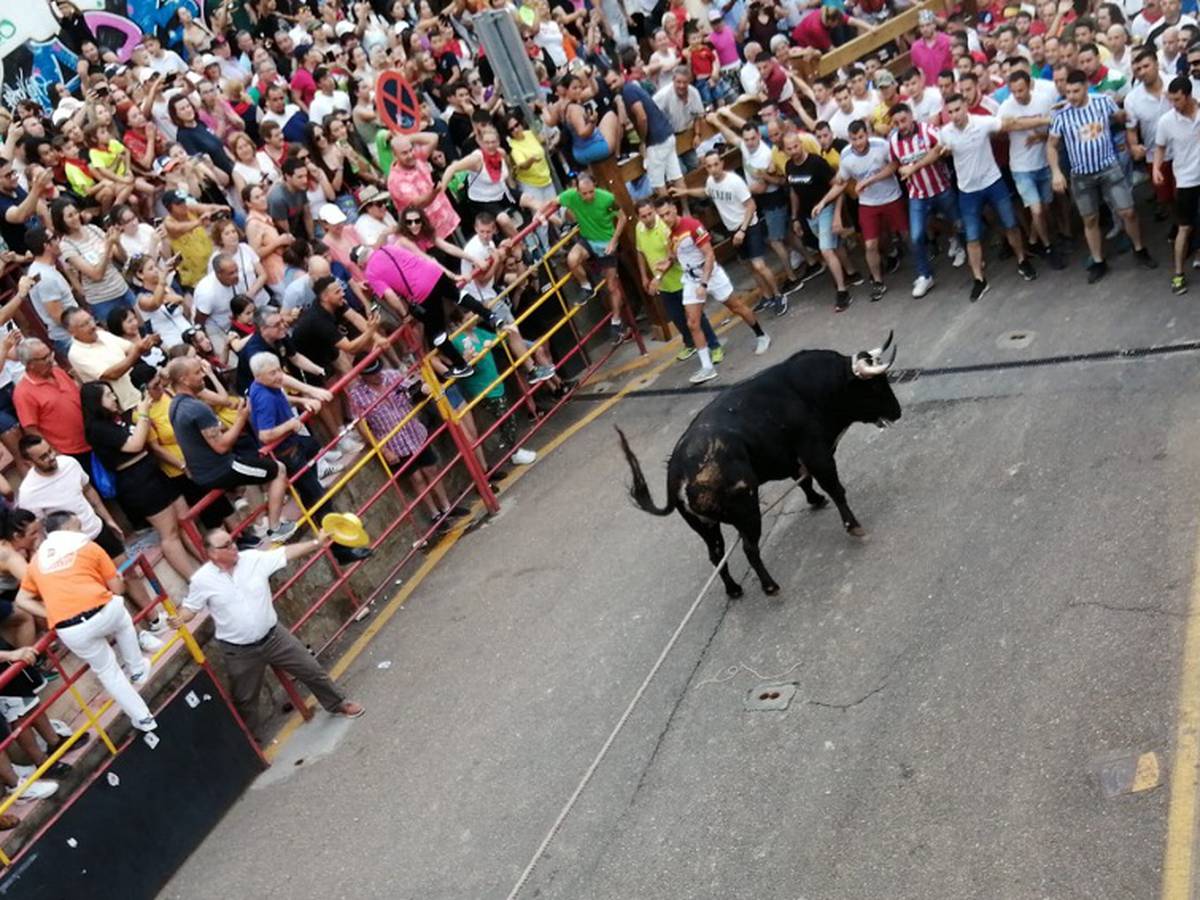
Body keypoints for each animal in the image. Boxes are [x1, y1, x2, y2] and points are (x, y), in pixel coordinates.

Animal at [619, 340, 902, 600]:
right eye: (875, 386)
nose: (897, 412)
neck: (815, 388)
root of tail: (678, 469)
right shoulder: (817, 453)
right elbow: (835, 488)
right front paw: (853, 525)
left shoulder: (792, 458)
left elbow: (804, 482)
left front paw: (816, 500)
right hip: (747, 512)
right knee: (749, 548)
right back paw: (770, 586)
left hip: (705, 525)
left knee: (716, 554)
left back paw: (734, 589)